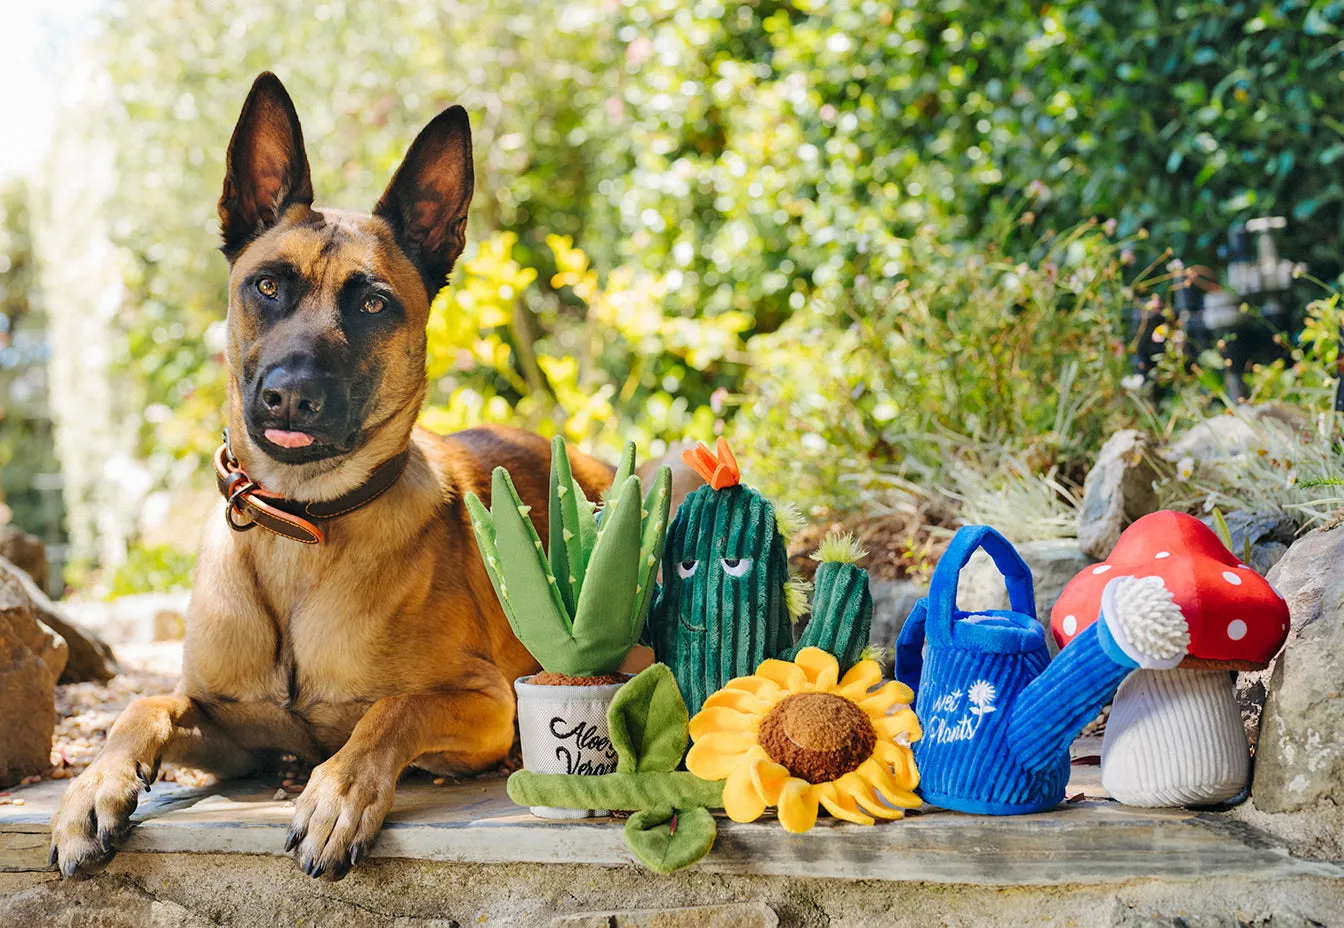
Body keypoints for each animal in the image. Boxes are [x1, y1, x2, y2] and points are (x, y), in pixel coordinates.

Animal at [47, 72, 620, 876]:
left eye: (374, 303)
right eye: (266, 286)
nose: (290, 394)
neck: (298, 526)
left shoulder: (487, 702)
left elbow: (391, 709)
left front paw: (337, 794)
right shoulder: (227, 727)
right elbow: (143, 705)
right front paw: (92, 789)